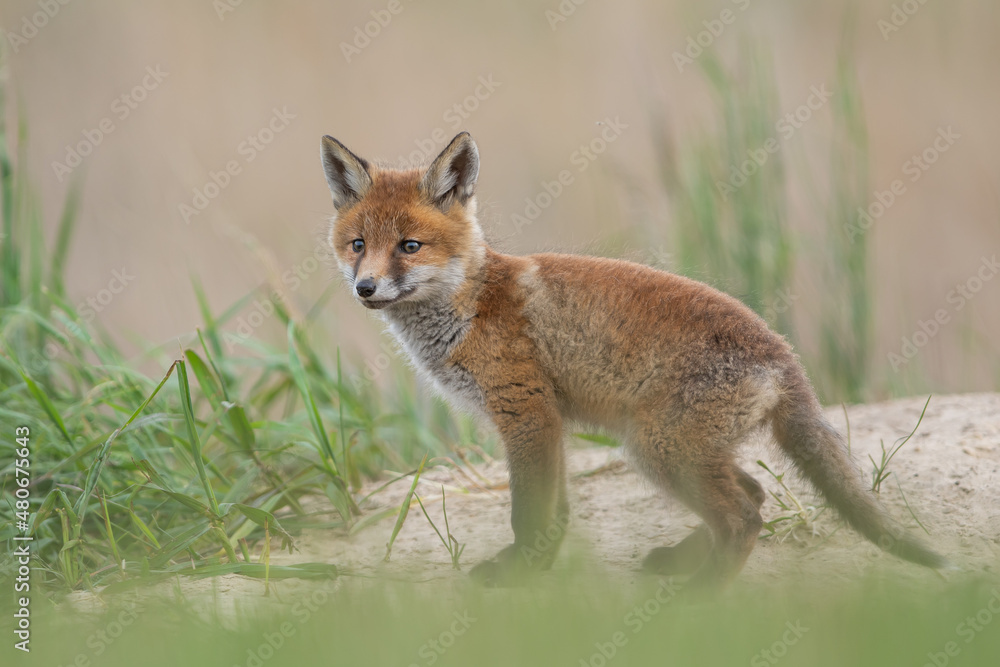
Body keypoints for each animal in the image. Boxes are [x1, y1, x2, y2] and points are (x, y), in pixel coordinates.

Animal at [319, 131, 948, 588]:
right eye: (358, 245)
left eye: (409, 247)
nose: (366, 288)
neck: (469, 306)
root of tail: (784, 354)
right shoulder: (550, 424)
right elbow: (556, 516)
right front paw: (539, 568)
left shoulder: (528, 415)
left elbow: (528, 513)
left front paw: (522, 576)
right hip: (676, 452)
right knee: (754, 495)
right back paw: (684, 563)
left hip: (658, 449)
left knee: (743, 515)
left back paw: (702, 594)